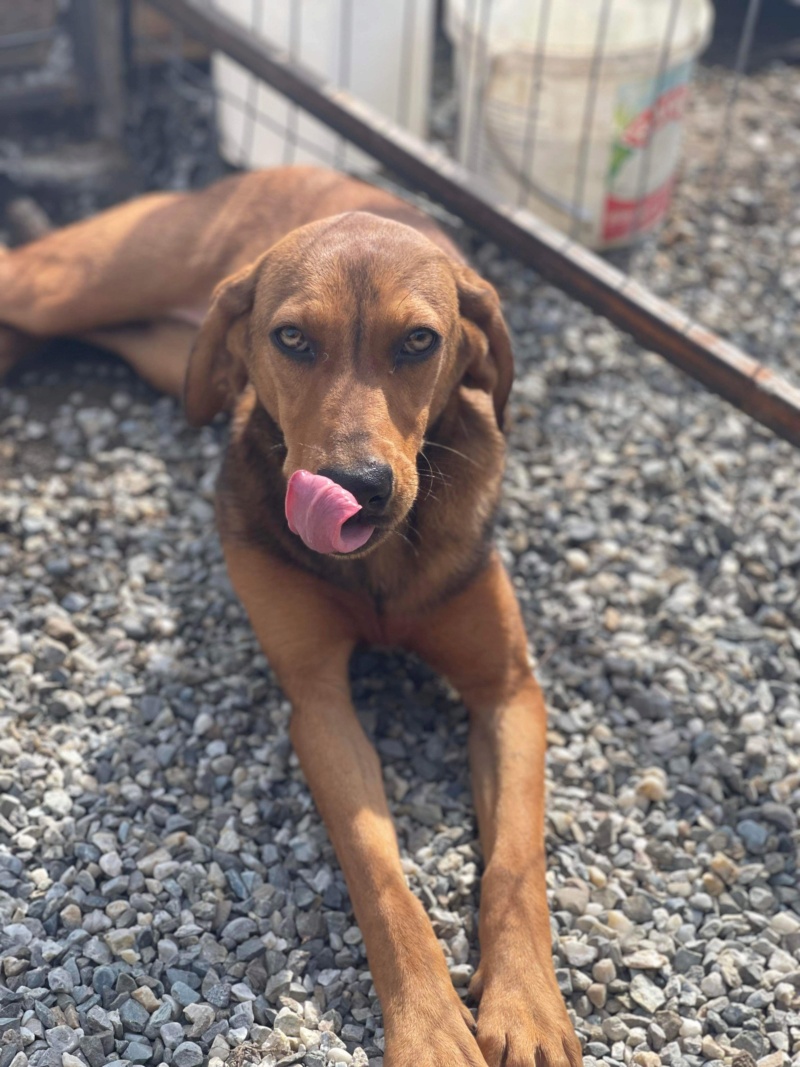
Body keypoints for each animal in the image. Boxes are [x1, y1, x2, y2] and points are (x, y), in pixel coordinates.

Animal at [1, 166, 584, 1067]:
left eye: (420, 342)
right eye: (293, 339)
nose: (357, 487)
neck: (380, 565)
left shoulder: (510, 691)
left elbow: (517, 863)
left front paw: (526, 1005)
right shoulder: (319, 701)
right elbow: (381, 876)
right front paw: (429, 1028)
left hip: (171, 357)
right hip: (76, 282)